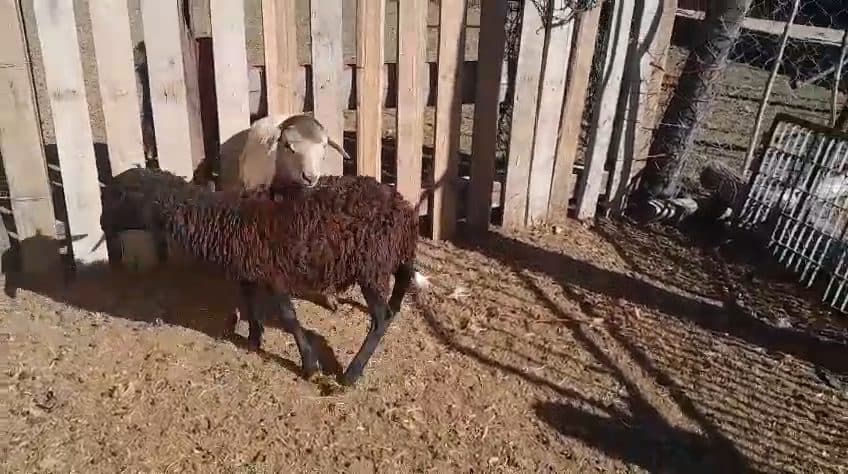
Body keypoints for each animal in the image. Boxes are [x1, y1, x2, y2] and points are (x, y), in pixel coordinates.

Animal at [100, 166, 428, 386]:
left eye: (121, 195)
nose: (102, 224)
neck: (223, 218)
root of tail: (405, 208)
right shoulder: (249, 271)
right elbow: (249, 302)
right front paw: (254, 338)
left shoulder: (274, 274)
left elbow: (289, 318)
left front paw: (309, 366)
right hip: (393, 258)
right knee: (400, 290)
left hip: (371, 266)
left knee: (380, 318)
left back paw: (351, 373)